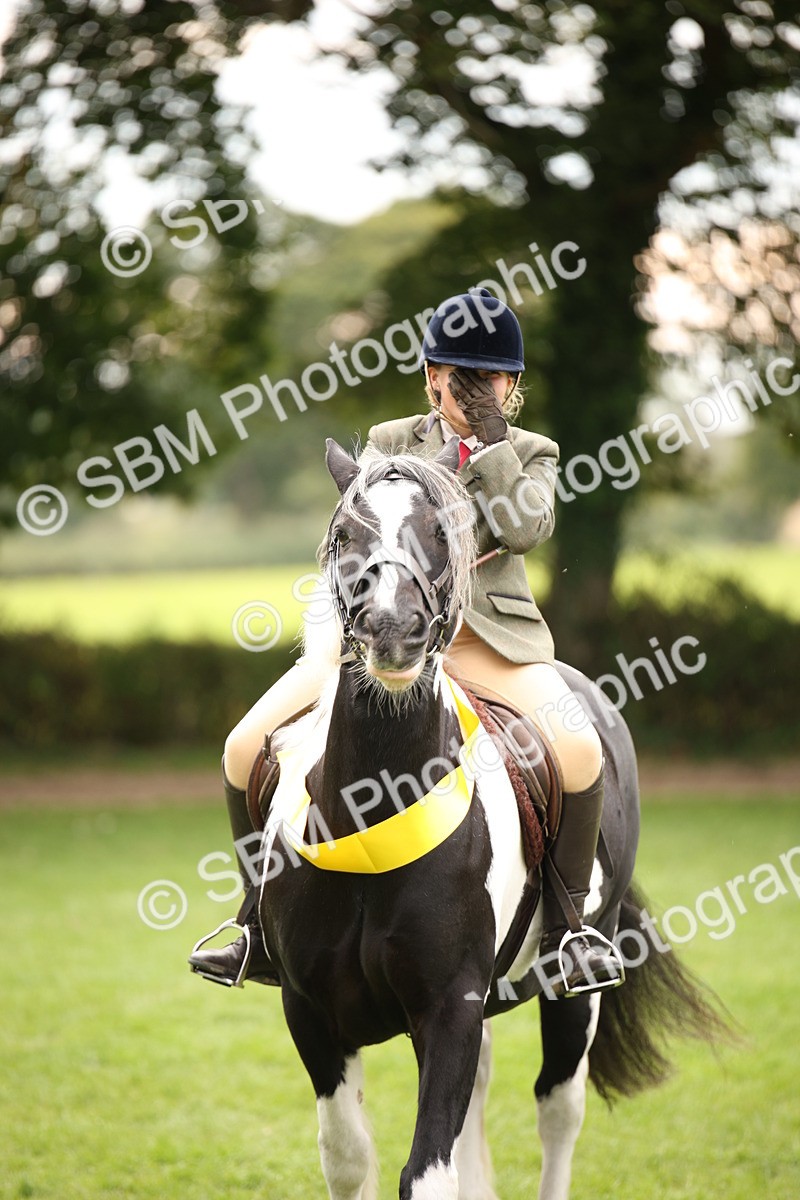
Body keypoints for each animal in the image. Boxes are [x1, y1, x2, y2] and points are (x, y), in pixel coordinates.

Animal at [256, 437, 727, 1200]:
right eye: (344, 535)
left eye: (444, 531)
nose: (393, 631)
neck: (373, 809)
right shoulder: (312, 1010)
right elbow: (349, 1158)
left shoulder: (451, 1004)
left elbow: (428, 1172)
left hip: (574, 985)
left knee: (558, 1109)